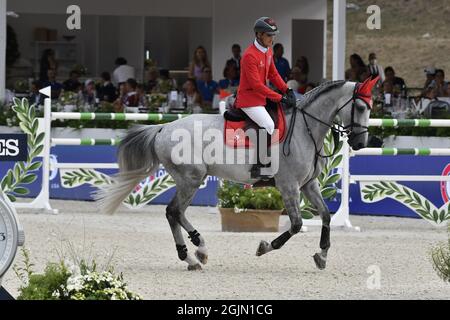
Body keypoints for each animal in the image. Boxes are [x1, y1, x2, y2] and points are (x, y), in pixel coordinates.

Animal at [92, 77, 376, 270]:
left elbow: (326, 215)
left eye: (371, 108)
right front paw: (265, 247)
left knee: (177, 213)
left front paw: (322, 255)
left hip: (191, 179)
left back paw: (196, 253)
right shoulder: (289, 186)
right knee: (173, 211)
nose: (361, 142)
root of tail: (163, 128)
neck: (304, 130)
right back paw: (194, 253)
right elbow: (296, 224)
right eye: (361, 108)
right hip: (191, 178)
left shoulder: (309, 184)